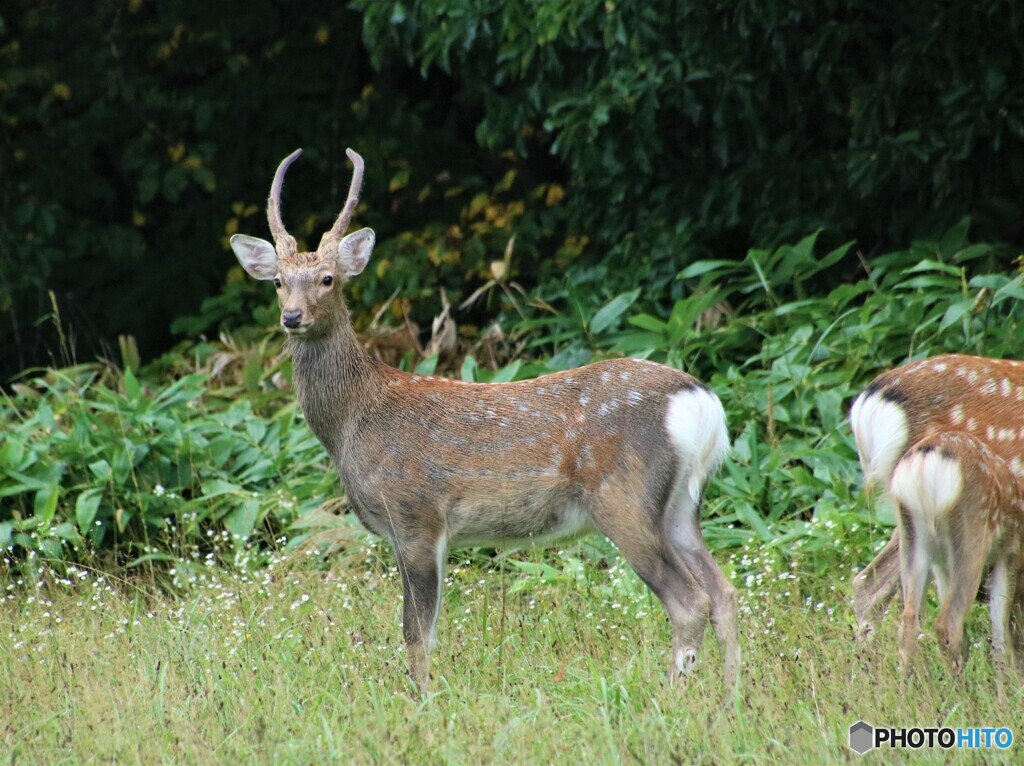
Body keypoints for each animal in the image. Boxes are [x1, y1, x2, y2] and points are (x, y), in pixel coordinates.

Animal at [228, 148, 741, 692]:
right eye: (278, 282)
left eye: (328, 279)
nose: (292, 317)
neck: (354, 421)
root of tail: (702, 403)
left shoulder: (415, 515)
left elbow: (416, 633)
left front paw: (423, 700)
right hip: (681, 504)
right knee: (724, 593)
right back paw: (730, 699)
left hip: (625, 496)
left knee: (689, 602)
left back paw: (673, 697)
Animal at [888, 430, 1024, 700]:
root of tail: (925, 462)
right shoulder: (1009, 554)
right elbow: (999, 633)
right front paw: (1003, 700)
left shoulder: (943, 566)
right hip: (972, 533)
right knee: (947, 623)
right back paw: (966, 701)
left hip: (913, 539)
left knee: (909, 620)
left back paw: (904, 700)